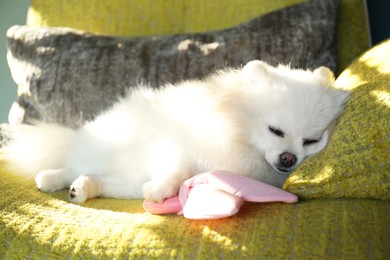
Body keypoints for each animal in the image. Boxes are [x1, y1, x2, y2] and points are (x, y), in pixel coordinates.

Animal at [1, 61, 348, 203]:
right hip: (113, 148)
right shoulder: (181, 147)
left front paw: (157, 191)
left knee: (94, 177)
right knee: (73, 165)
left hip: (124, 181)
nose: (289, 158)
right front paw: (161, 187)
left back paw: (80, 189)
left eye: (311, 141)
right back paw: (50, 178)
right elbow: (178, 167)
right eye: (275, 130)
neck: (237, 134)